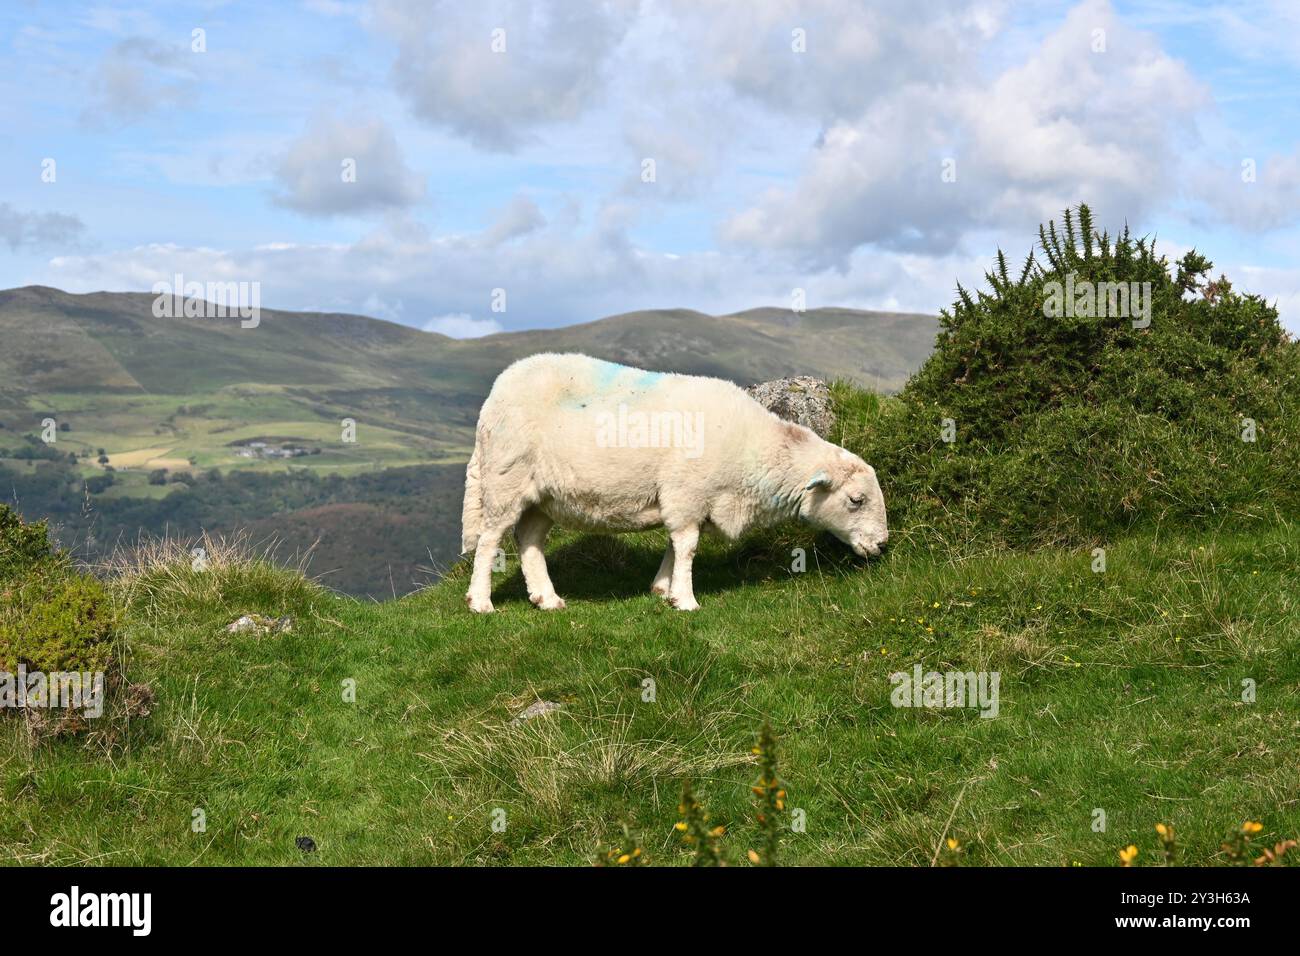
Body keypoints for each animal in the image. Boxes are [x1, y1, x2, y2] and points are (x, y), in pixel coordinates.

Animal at [461, 353, 888, 612]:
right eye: (856, 500)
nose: (882, 545)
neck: (754, 451)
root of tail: (498, 390)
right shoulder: (688, 492)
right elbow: (687, 547)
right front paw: (685, 599)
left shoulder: (683, 499)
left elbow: (673, 543)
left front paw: (662, 589)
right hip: (505, 478)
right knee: (489, 540)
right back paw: (480, 602)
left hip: (543, 495)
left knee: (529, 539)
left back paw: (546, 598)